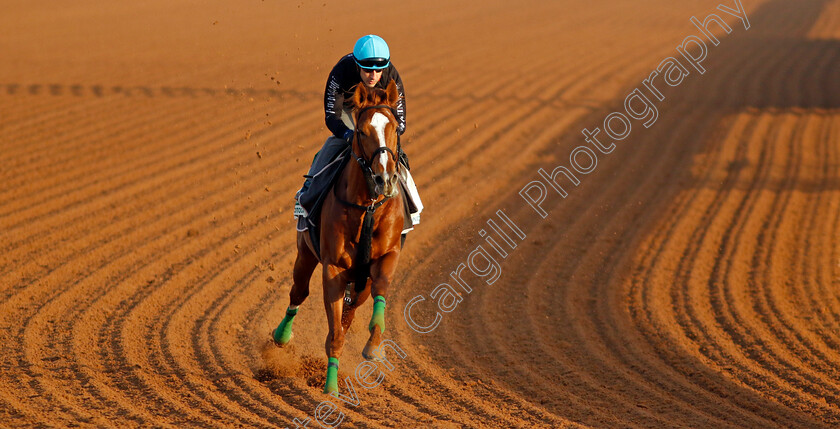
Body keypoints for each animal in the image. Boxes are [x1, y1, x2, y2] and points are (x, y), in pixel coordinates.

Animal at [274, 80, 406, 394]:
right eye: (361, 131)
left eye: (395, 127)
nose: (385, 179)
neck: (368, 207)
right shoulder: (333, 268)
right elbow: (335, 335)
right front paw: (330, 389)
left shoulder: (387, 257)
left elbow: (377, 298)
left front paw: (374, 347)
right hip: (305, 253)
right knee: (299, 292)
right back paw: (281, 335)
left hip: (359, 281)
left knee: (351, 309)